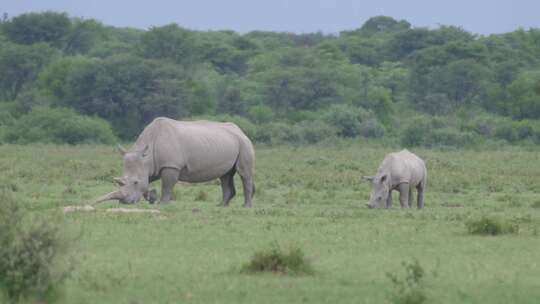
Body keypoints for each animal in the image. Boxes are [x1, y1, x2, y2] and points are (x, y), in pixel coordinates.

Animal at [95, 117, 258, 208]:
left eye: (135, 182)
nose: (125, 203)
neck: (147, 157)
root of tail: (241, 130)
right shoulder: (150, 167)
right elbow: (147, 183)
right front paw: (151, 197)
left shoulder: (171, 165)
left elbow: (167, 186)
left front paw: (162, 204)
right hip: (229, 143)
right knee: (225, 175)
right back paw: (221, 206)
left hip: (244, 144)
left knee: (244, 174)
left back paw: (246, 207)